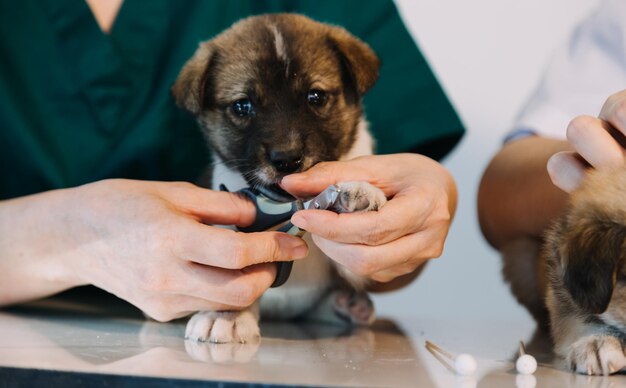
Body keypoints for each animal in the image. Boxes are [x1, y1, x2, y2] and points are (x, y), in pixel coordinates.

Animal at [172, 14, 386, 342]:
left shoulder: (356, 264)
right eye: (242, 105)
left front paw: (358, 192)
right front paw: (225, 315)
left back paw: (349, 306)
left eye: (316, 97)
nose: (287, 159)